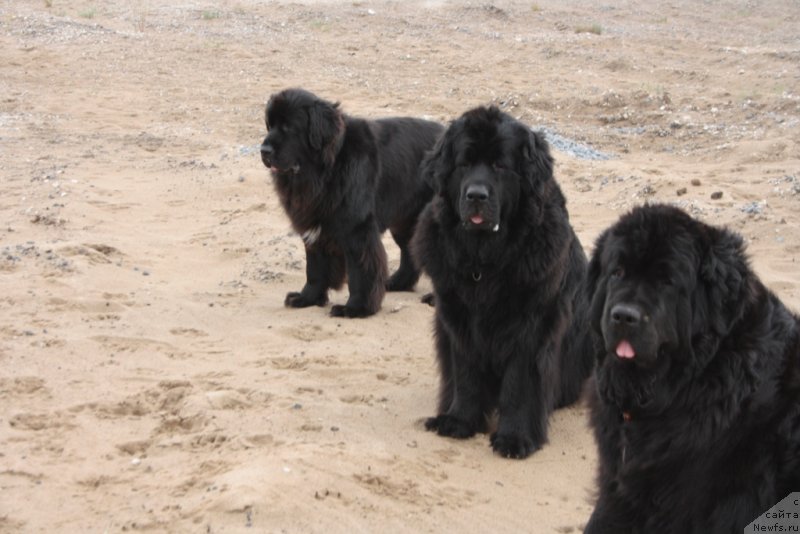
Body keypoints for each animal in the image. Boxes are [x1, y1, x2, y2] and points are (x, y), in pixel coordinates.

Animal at [260, 88, 444, 318]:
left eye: (289, 127)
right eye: (269, 125)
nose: (263, 150)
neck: (325, 169)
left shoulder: (356, 230)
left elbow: (360, 272)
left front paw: (356, 308)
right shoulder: (314, 227)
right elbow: (314, 268)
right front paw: (307, 298)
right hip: (405, 222)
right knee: (409, 252)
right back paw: (395, 283)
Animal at [412, 105, 592, 460]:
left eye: (499, 166)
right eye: (464, 164)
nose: (476, 195)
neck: (485, 261)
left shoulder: (532, 326)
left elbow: (519, 384)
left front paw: (515, 437)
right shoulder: (458, 319)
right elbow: (466, 374)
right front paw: (459, 421)